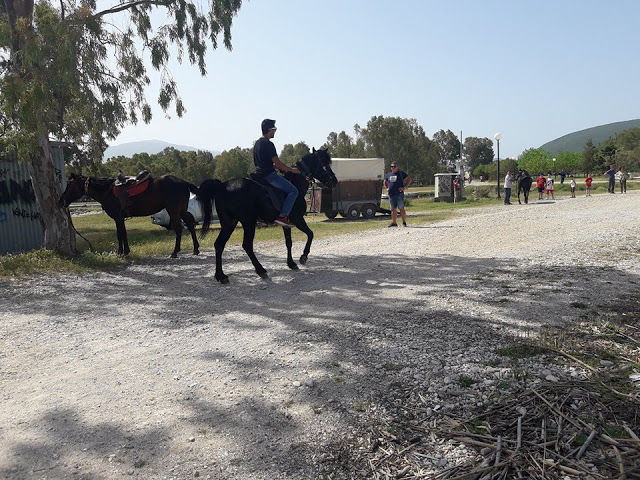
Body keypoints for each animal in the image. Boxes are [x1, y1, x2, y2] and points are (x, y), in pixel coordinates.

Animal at [59, 173, 201, 256]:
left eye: (69, 184)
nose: (61, 200)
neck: (107, 191)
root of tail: (183, 182)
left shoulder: (117, 217)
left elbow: (120, 234)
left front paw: (122, 252)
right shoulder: (119, 218)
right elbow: (122, 234)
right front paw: (123, 251)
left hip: (174, 211)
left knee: (179, 228)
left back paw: (175, 252)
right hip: (182, 210)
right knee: (190, 224)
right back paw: (195, 249)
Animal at [199, 148, 340, 284]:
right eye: (325, 165)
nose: (334, 181)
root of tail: (223, 186)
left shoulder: (287, 224)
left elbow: (289, 242)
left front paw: (291, 263)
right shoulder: (298, 219)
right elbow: (310, 234)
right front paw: (303, 257)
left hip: (229, 223)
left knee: (219, 245)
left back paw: (221, 276)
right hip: (248, 222)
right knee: (247, 245)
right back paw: (260, 270)